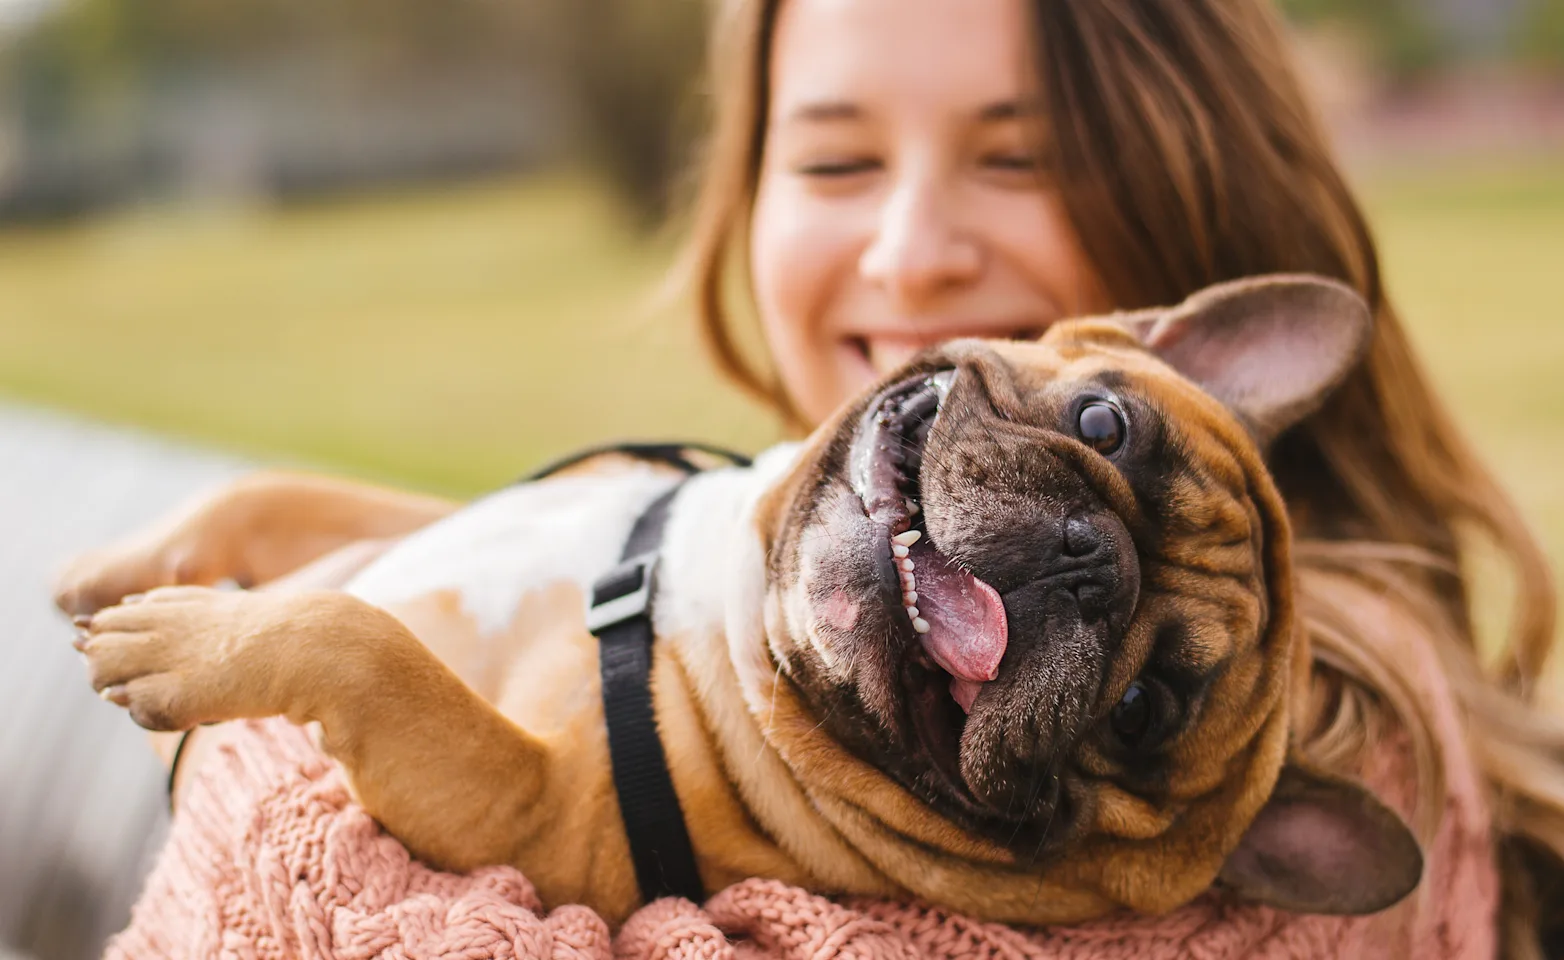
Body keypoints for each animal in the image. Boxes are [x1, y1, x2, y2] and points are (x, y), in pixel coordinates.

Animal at [57, 275, 1420, 931]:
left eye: (1142, 709)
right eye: (1103, 424)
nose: (1090, 563)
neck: (715, 599)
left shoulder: (523, 813)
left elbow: (366, 641)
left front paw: (178, 641)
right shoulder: (430, 519)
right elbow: (280, 496)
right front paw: (129, 565)